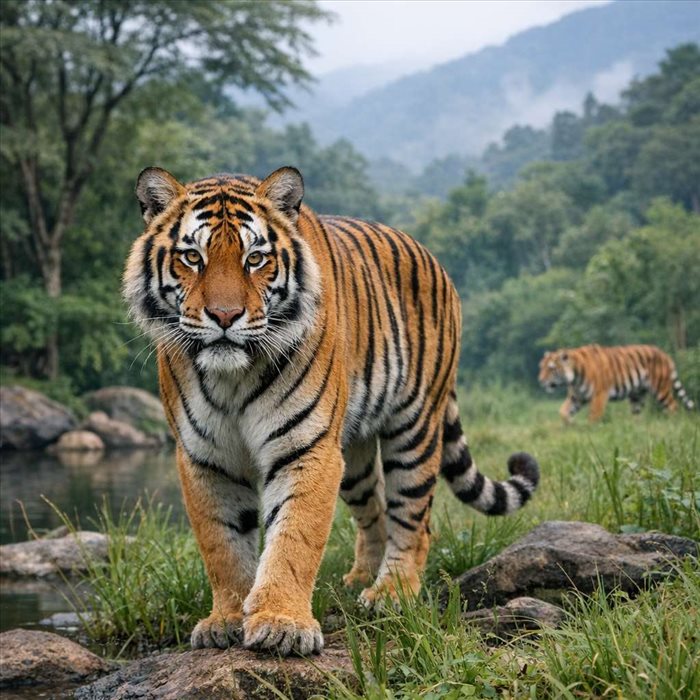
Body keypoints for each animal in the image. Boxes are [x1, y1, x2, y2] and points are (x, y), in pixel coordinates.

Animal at [123, 166, 539, 657]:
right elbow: (222, 545)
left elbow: (294, 538)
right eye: (192, 257)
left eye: (255, 259)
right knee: (375, 509)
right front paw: (224, 619)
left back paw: (391, 593)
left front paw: (282, 623)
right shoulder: (205, 457)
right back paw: (360, 578)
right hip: (354, 458)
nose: (225, 316)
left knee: (414, 521)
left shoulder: (306, 448)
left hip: (414, 430)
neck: (232, 377)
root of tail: (431, 256)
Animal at [538, 344, 695, 423]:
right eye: (541, 367)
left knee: (673, 406)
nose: (540, 380)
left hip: (661, 389)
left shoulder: (599, 395)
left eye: (550, 368)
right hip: (637, 395)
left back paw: (673, 424)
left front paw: (590, 430)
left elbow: (594, 415)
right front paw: (570, 423)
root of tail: (665, 355)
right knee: (637, 415)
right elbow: (562, 411)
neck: (574, 377)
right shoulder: (576, 397)